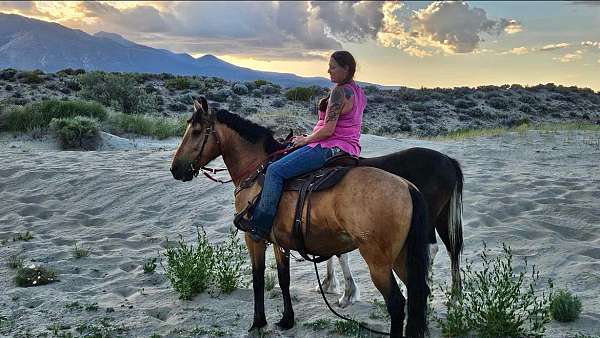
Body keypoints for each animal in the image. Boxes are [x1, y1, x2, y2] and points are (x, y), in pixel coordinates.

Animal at [171, 97, 428, 336]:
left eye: (196, 131)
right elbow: (283, 278)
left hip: (379, 263)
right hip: (402, 258)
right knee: (419, 294)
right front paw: (287, 319)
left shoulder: (254, 238)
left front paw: (258, 323)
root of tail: (407, 187)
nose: (175, 169)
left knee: (396, 304)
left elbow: (258, 278)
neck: (257, 171)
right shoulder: (278, 241)